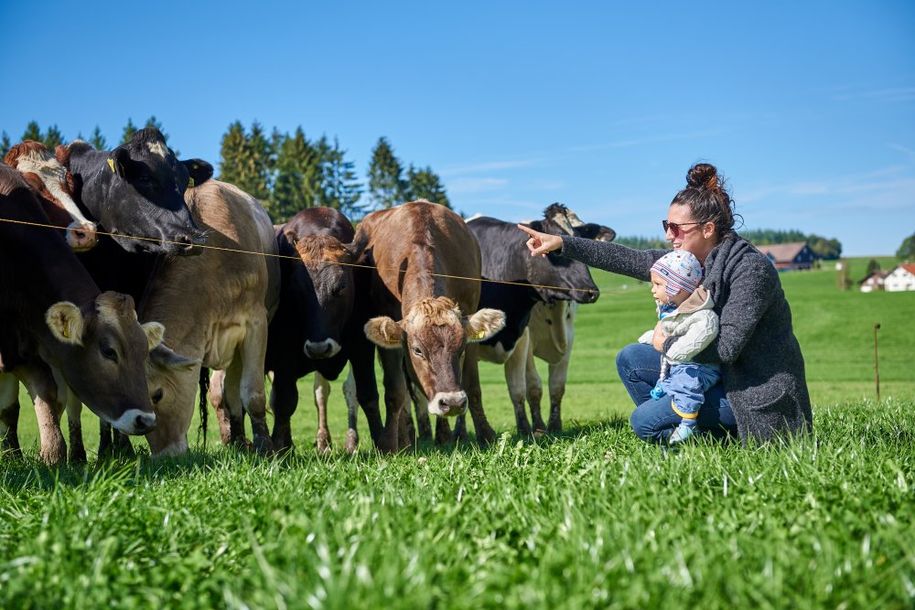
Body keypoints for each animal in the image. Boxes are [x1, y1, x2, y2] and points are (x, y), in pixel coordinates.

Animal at [0, 164, 165, 464]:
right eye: (108, 351)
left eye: (144, 351)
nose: (145, 420)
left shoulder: (23, 341)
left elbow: (45, 392)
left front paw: (53, 454)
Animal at [140, 178, 280, 454]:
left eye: (157, 395)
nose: (164, 456)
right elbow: (228, 394)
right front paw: (237, 441)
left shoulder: (256, 322)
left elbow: (253, 392)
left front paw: (265, 445)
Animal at [352, 201, 508, 452]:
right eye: (417, 350)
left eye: (460, 349)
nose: (452, 402)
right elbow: (395, 391)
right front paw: (388, 444)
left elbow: (473, 385)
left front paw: (485, 434)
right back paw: (406, 438)